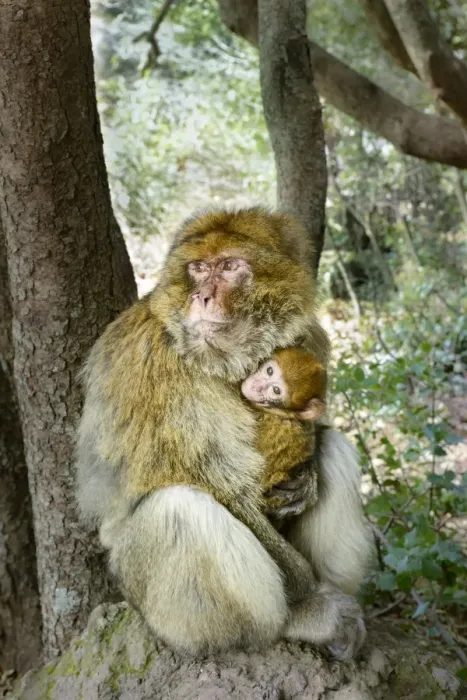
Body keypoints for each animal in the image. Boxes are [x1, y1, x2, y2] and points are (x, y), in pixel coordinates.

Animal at [76, 207, 371, 660]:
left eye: (230, 267)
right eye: (198, 268)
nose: (201, 297)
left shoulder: (309, 337)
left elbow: (314, 426)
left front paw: (305, 483)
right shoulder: (156, 364)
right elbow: (227, 489)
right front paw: (308, 601)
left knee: (335, 447)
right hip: (142, 590)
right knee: (179, 508)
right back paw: (296, 620)